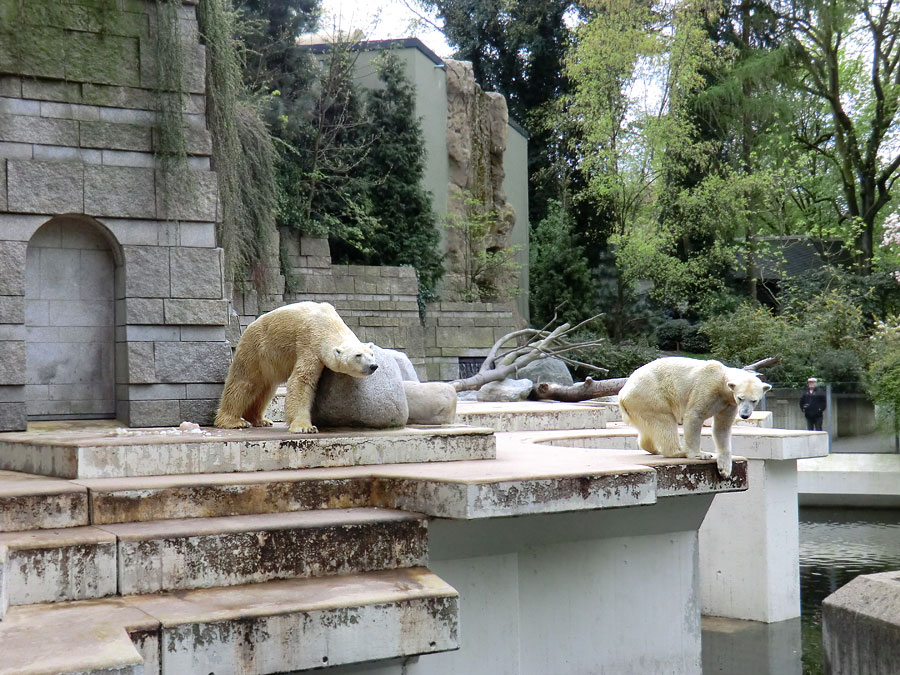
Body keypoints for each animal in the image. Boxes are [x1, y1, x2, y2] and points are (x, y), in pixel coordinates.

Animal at [216, 302, 378, 434]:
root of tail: (249, 326)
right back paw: (233, 421)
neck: (329, 323)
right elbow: (302, 380)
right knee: (244, 383)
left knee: (265, 391)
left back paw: (260, 420)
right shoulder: (310, 342)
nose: (373, 366)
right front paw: (305, 427)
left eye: (371, 354)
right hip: (256, 350)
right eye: (358, 355)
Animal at [620, 356, 772, 478]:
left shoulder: (729, 404)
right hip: (651, 394)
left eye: (754, 400)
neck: (721, 382)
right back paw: (679, 451)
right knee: (664, 421)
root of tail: (623, 394)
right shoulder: (706, 388)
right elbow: (694, 415)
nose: (745, 415)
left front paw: (725, 469)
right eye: (741, 398)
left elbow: (722, 428)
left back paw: (655, 448)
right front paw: (700, 454)